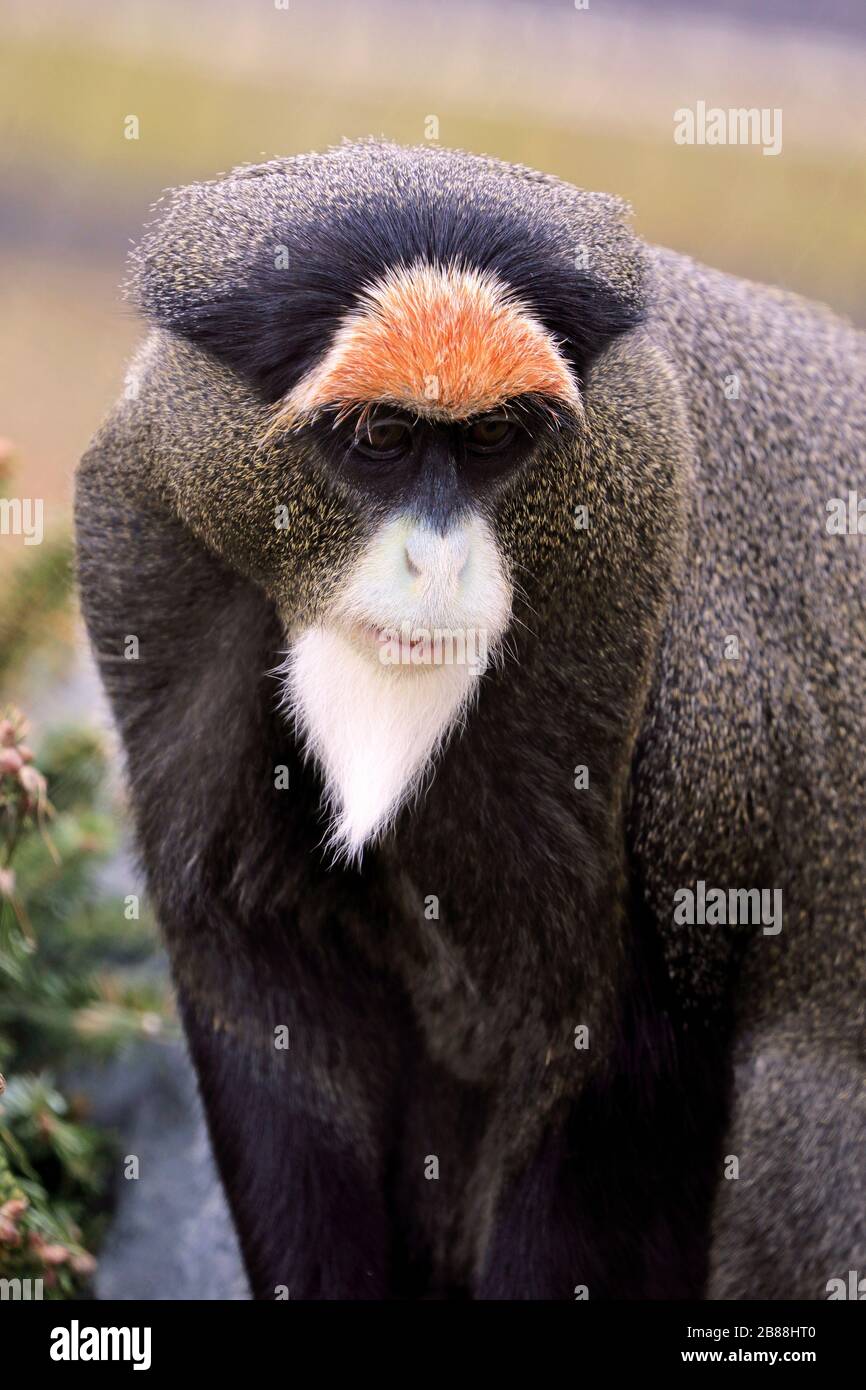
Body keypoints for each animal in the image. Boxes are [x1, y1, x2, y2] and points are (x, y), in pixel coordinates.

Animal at [75, 140, 866, 1301]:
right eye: (382, 434)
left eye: (493, 435)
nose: (437, 565)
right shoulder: (152, 538)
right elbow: (260, 973)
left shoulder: (684, 703)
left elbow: (624, 1073)